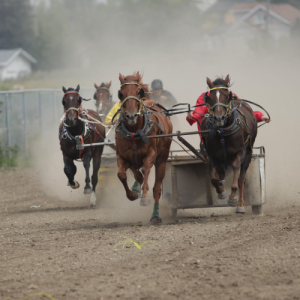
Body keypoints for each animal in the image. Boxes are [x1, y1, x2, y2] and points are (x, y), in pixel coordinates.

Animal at [115, 72, 172, 223]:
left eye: (138, 92)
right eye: (121, 94)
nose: (131, 116)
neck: (134, 131)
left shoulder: (151, 154)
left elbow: (146, 169)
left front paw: (145, 196)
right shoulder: (122, 156)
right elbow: (121, 174)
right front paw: (132, 194)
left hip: (162, 158)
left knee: (157, 188)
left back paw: (155, 216)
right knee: (136, 174)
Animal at [200, 75, 256, 213]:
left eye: (226, 96)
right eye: (210, 97)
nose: (219, 118)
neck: (223, 132)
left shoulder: (240, 152)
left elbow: (236, 169)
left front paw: (233, 197)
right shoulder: (212, 155)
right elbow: (214, 179)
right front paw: (221, 191)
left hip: (248, 152)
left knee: (241, 178)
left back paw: (240, 205)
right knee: (221, 174)